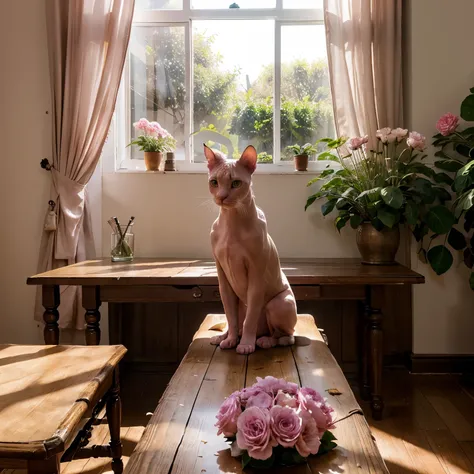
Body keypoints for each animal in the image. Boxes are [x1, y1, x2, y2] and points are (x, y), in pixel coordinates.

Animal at [206, 145, 298, 356]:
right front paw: (231, 340)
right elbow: (230, 317)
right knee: (235, 321)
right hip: (241, 301)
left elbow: (250, 319)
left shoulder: (256, 275)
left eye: (236, 183)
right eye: (214, 182)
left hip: (278, 303)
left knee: (286, 336)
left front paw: (246, 345)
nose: (221, 196)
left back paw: (264, 341)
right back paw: (223, 337)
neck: (232, 222)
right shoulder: (223, 278)